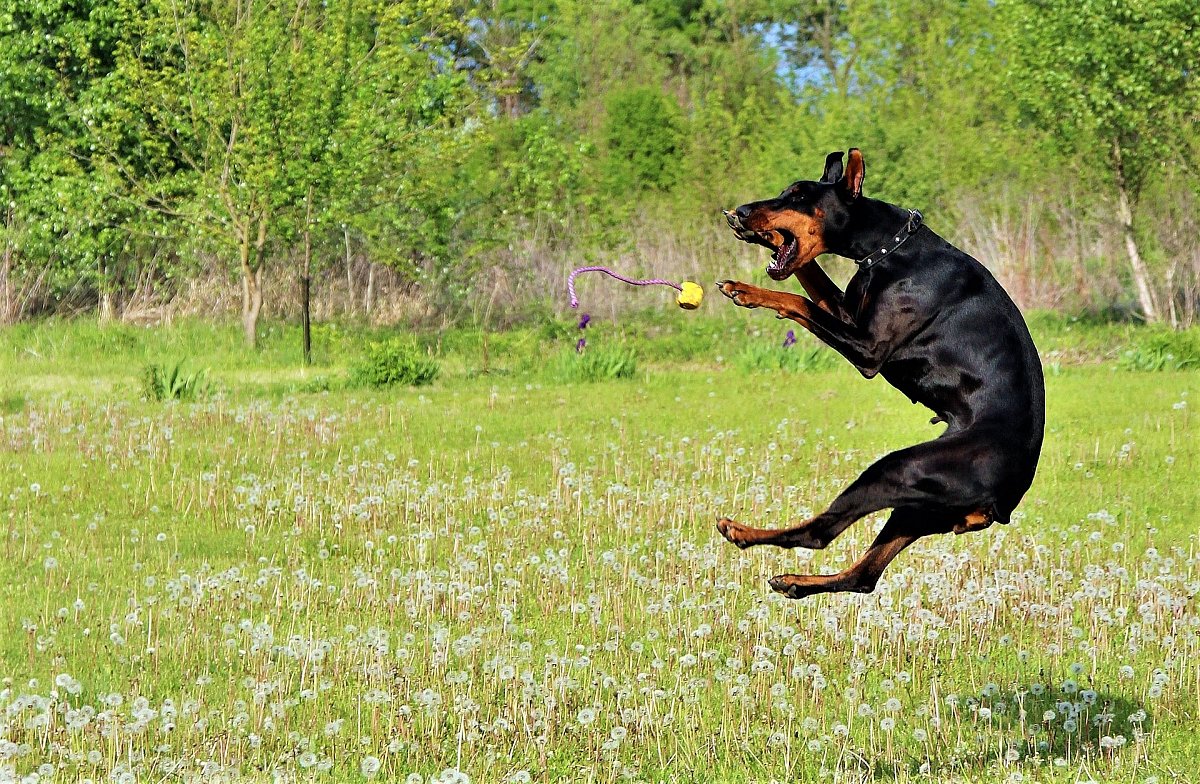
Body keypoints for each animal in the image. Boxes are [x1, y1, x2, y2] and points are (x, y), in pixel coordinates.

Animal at [715, 148, 1046, 600]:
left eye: (798, 195)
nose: (744, 212)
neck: (886, 251)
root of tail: (1000, 503)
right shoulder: (848, 314)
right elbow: (812, 277)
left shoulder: (868, 349)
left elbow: (798, 300)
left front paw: (745, 290)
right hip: (918, 509)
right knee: (864, 576)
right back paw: (795, 582)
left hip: (900, 468)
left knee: (820, 532)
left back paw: (742, 532)